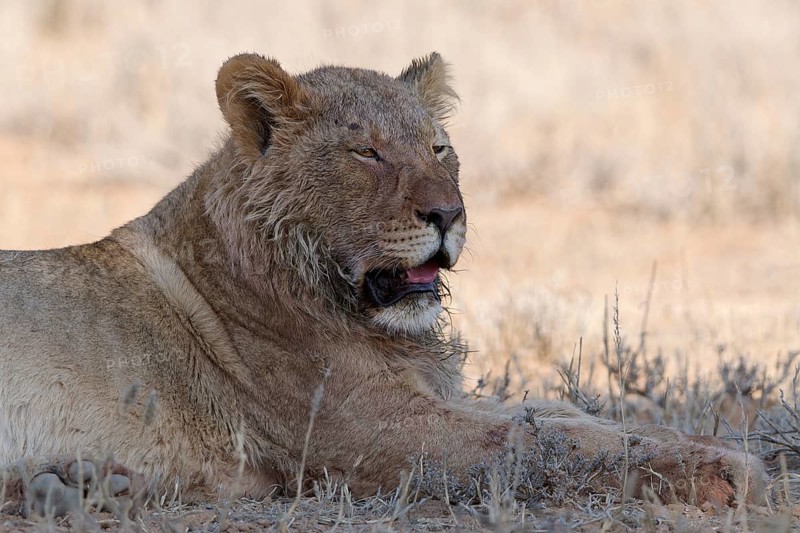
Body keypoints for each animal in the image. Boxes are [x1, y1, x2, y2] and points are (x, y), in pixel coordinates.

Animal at [0, 53, 768, 517]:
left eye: (438, 147)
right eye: (366, 152)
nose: (449, 214)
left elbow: (554, 414)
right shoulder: (378, 432)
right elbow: (547, 444)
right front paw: (729, 468)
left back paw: (80, 484)